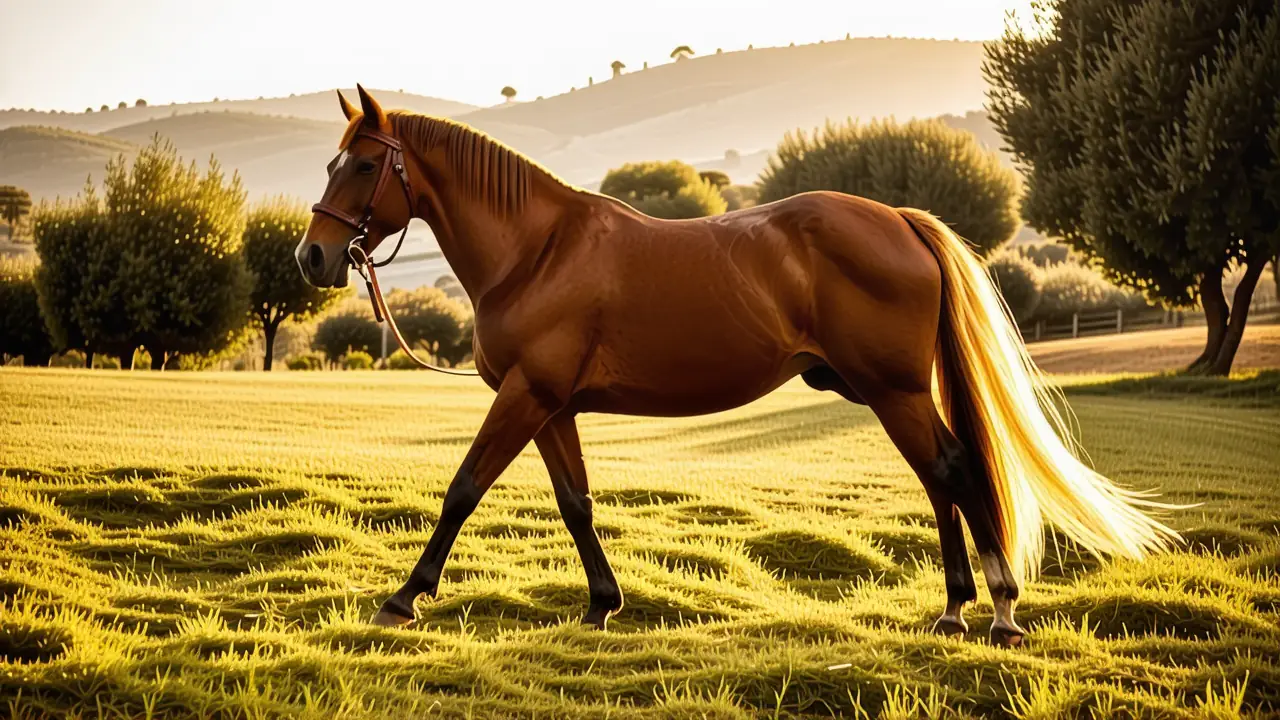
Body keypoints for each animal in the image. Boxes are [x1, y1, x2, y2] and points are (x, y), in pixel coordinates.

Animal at [296, 86, 1175, 646]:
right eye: (332, 164)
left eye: (364, 166)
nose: (313, 257)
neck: (538, 251)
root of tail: (896, 217)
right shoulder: (552, 406)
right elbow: (576, 504)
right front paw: (603, 605)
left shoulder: (525, 396)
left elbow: (463, 489)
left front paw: (405, 597)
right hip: (889, 394)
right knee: (939, 478)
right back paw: (956, 608)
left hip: (891, 390)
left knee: (954, 471)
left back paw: (996, 611)